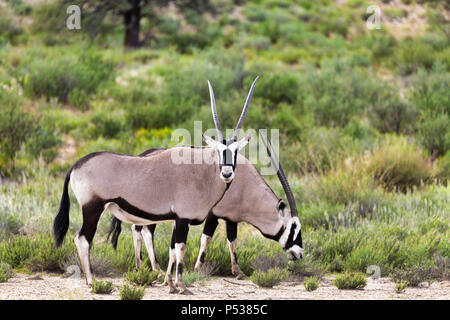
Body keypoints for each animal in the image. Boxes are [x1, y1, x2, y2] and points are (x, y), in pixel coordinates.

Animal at [52, 79, 256, 294]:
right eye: (218, 150)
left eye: (236, 150)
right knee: (82, 239)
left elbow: (172, 249)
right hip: (92, 208)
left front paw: (170, 284)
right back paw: (92, 281)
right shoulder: (183, 219)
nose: (226, 174)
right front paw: (181, 285)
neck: (200, 171)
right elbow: (180, 248)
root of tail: (75, 165)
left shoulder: (176, 219)